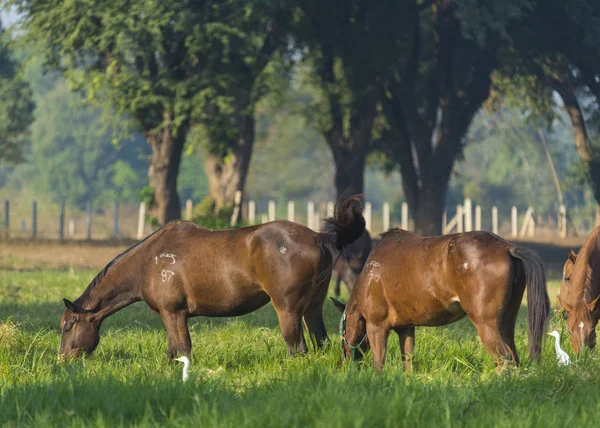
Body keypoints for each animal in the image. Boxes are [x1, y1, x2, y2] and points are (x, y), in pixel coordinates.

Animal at [59, 196, 366, 360]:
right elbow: (174, 351)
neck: (149, 261)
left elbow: (182, 349)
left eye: (67, 326)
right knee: (320, 341)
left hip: (288, 310)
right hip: (313, 307)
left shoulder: (174, 313)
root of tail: (318, 237)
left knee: (297, 347)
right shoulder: (172, 316)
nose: (63, 359)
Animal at [330, 229, 552, 372]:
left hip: (486, 324)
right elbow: (407, 360)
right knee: (513, 356)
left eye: (342, 334)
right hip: (506, 323)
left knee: (503, 358)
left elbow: (379, 363)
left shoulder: (376, 327)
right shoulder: (406, 328)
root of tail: (506, 247)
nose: (346, 364)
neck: (370, 275)